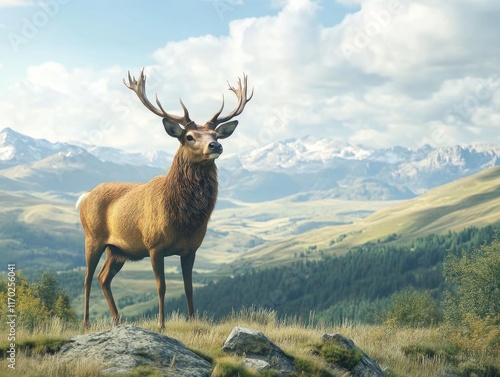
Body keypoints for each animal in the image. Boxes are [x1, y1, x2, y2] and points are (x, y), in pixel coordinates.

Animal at [79, 70, 252, 326]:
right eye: (189, 136)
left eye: (215, 134)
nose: (215, 145)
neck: (184, 220)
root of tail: (84, 197)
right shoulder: (154, 245)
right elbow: (161, 287)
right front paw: (161, 323)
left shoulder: (191, 249)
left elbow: (189, 287)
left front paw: (193, 321)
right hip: (93, 237)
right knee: (88, 277)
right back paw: (86, 322)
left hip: (117, 250)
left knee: (104, 278)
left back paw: (118, 320)